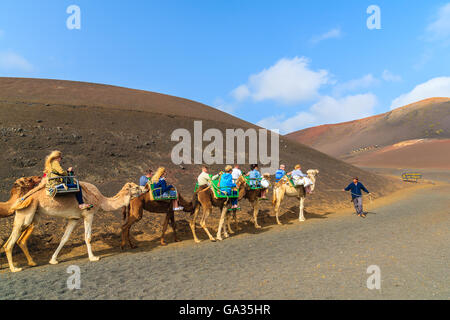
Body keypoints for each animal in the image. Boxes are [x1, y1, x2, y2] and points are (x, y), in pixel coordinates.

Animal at [3, 181, 141, 272]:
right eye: (136, 187)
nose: (144, 189)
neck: (101, 200)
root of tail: (20, 200)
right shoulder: (89, 214)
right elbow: (88, 237)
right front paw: (93, 257)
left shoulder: (74, 218)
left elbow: (64, 238)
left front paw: (53, 260)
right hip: (25, 215)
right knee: (10, 242)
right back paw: (15, 268)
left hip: (33, 215)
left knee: (16, 239)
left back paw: (30, 263)